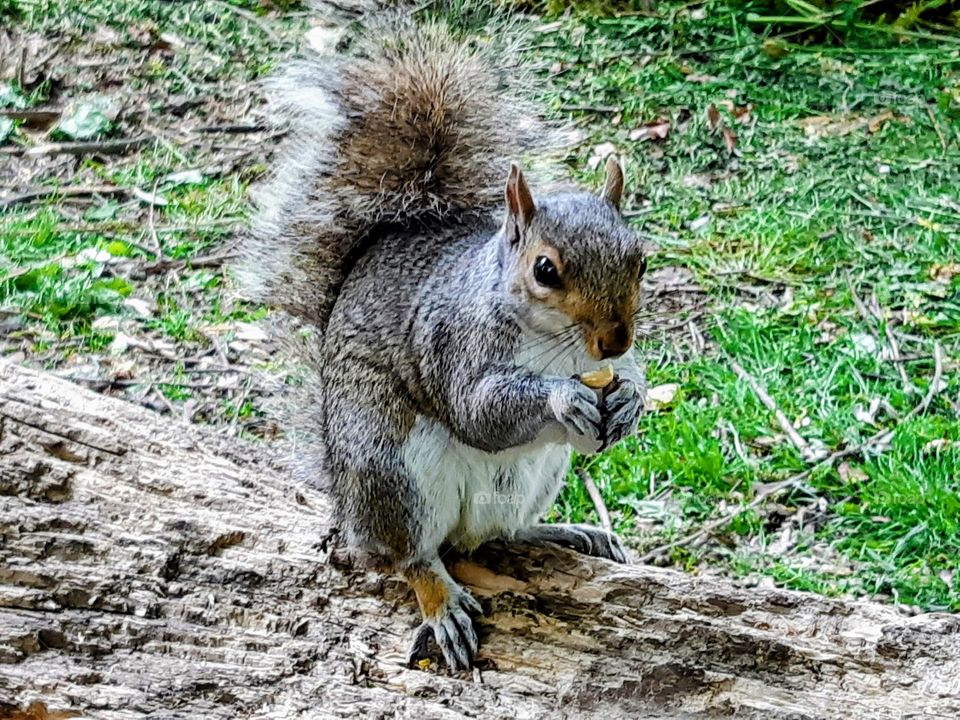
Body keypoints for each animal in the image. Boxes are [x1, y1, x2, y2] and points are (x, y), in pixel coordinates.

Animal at [238, 14, 644, 672]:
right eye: (545, 270)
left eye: (640, 260)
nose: (613, 340)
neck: (555, 346)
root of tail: (346, 506)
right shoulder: (454, 340)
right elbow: (479, 411)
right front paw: (560, 397)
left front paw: (630, 400)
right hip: (391, 471)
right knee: (411, 556)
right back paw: (440, 600)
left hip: (535, 476)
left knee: (496, 535)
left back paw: (567, 532)